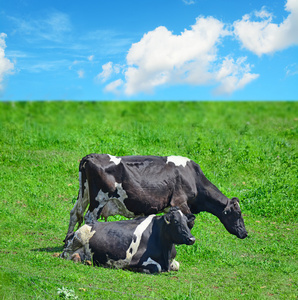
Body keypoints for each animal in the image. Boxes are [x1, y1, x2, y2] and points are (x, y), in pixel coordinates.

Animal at [60, 207, 196, 274]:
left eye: (187, 222)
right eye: (176, 221)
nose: (192, 238)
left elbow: (177, 265)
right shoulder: (135, 259)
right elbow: (156, 267)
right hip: (77, 240)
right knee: (65, 254)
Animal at [64, 155, 247, 241]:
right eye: (238, 214)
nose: (244, 233)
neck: (193, 177)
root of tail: (92, 156)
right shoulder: (180, 202)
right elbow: (190, 221)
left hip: (84, 195)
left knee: (74, 213)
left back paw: (68, 239)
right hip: (98, 200)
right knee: (89, 217)